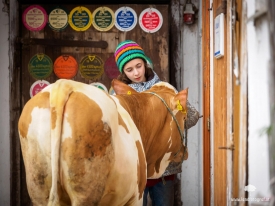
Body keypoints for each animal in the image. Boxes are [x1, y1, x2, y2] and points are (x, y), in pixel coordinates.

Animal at [18, 79, 189, 206]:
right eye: (185, 117)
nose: (185, 153)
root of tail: (63, 85)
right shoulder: (136, 196)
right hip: (86, 193)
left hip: (38, 189)